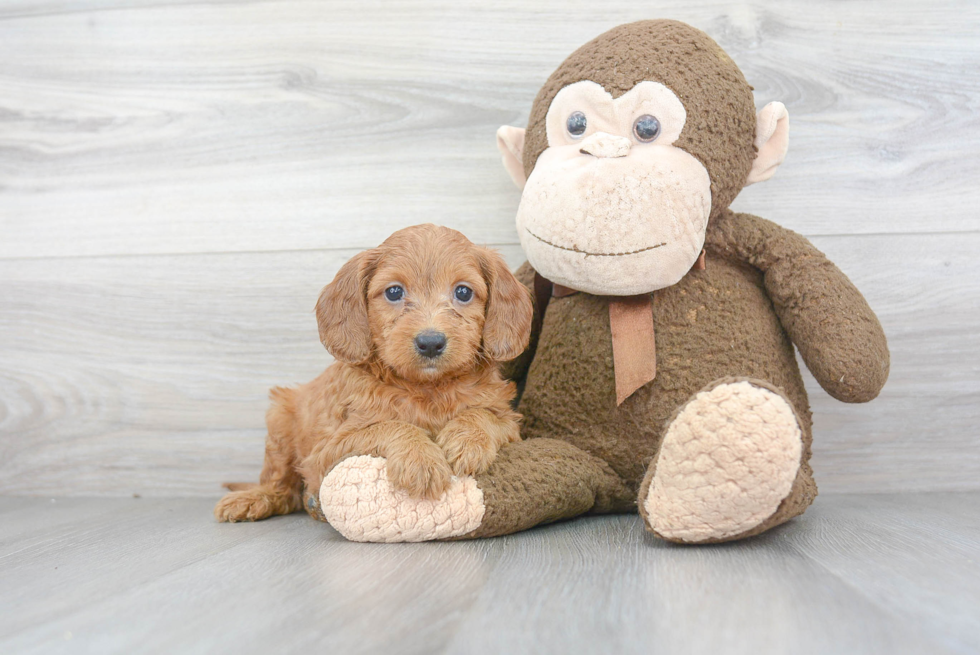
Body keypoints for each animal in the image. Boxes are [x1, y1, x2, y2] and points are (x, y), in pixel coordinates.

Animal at [216, 226, 536, 524]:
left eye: (463, 292)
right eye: (394, 292)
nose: (431, 342)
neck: (429, 388)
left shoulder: (510, 423)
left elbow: (484, 414)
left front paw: (468, 442)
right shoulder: (330, 449)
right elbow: (389, 426)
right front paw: (421, 460)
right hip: (280, 419)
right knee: (281, 484)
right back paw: (257, 498)